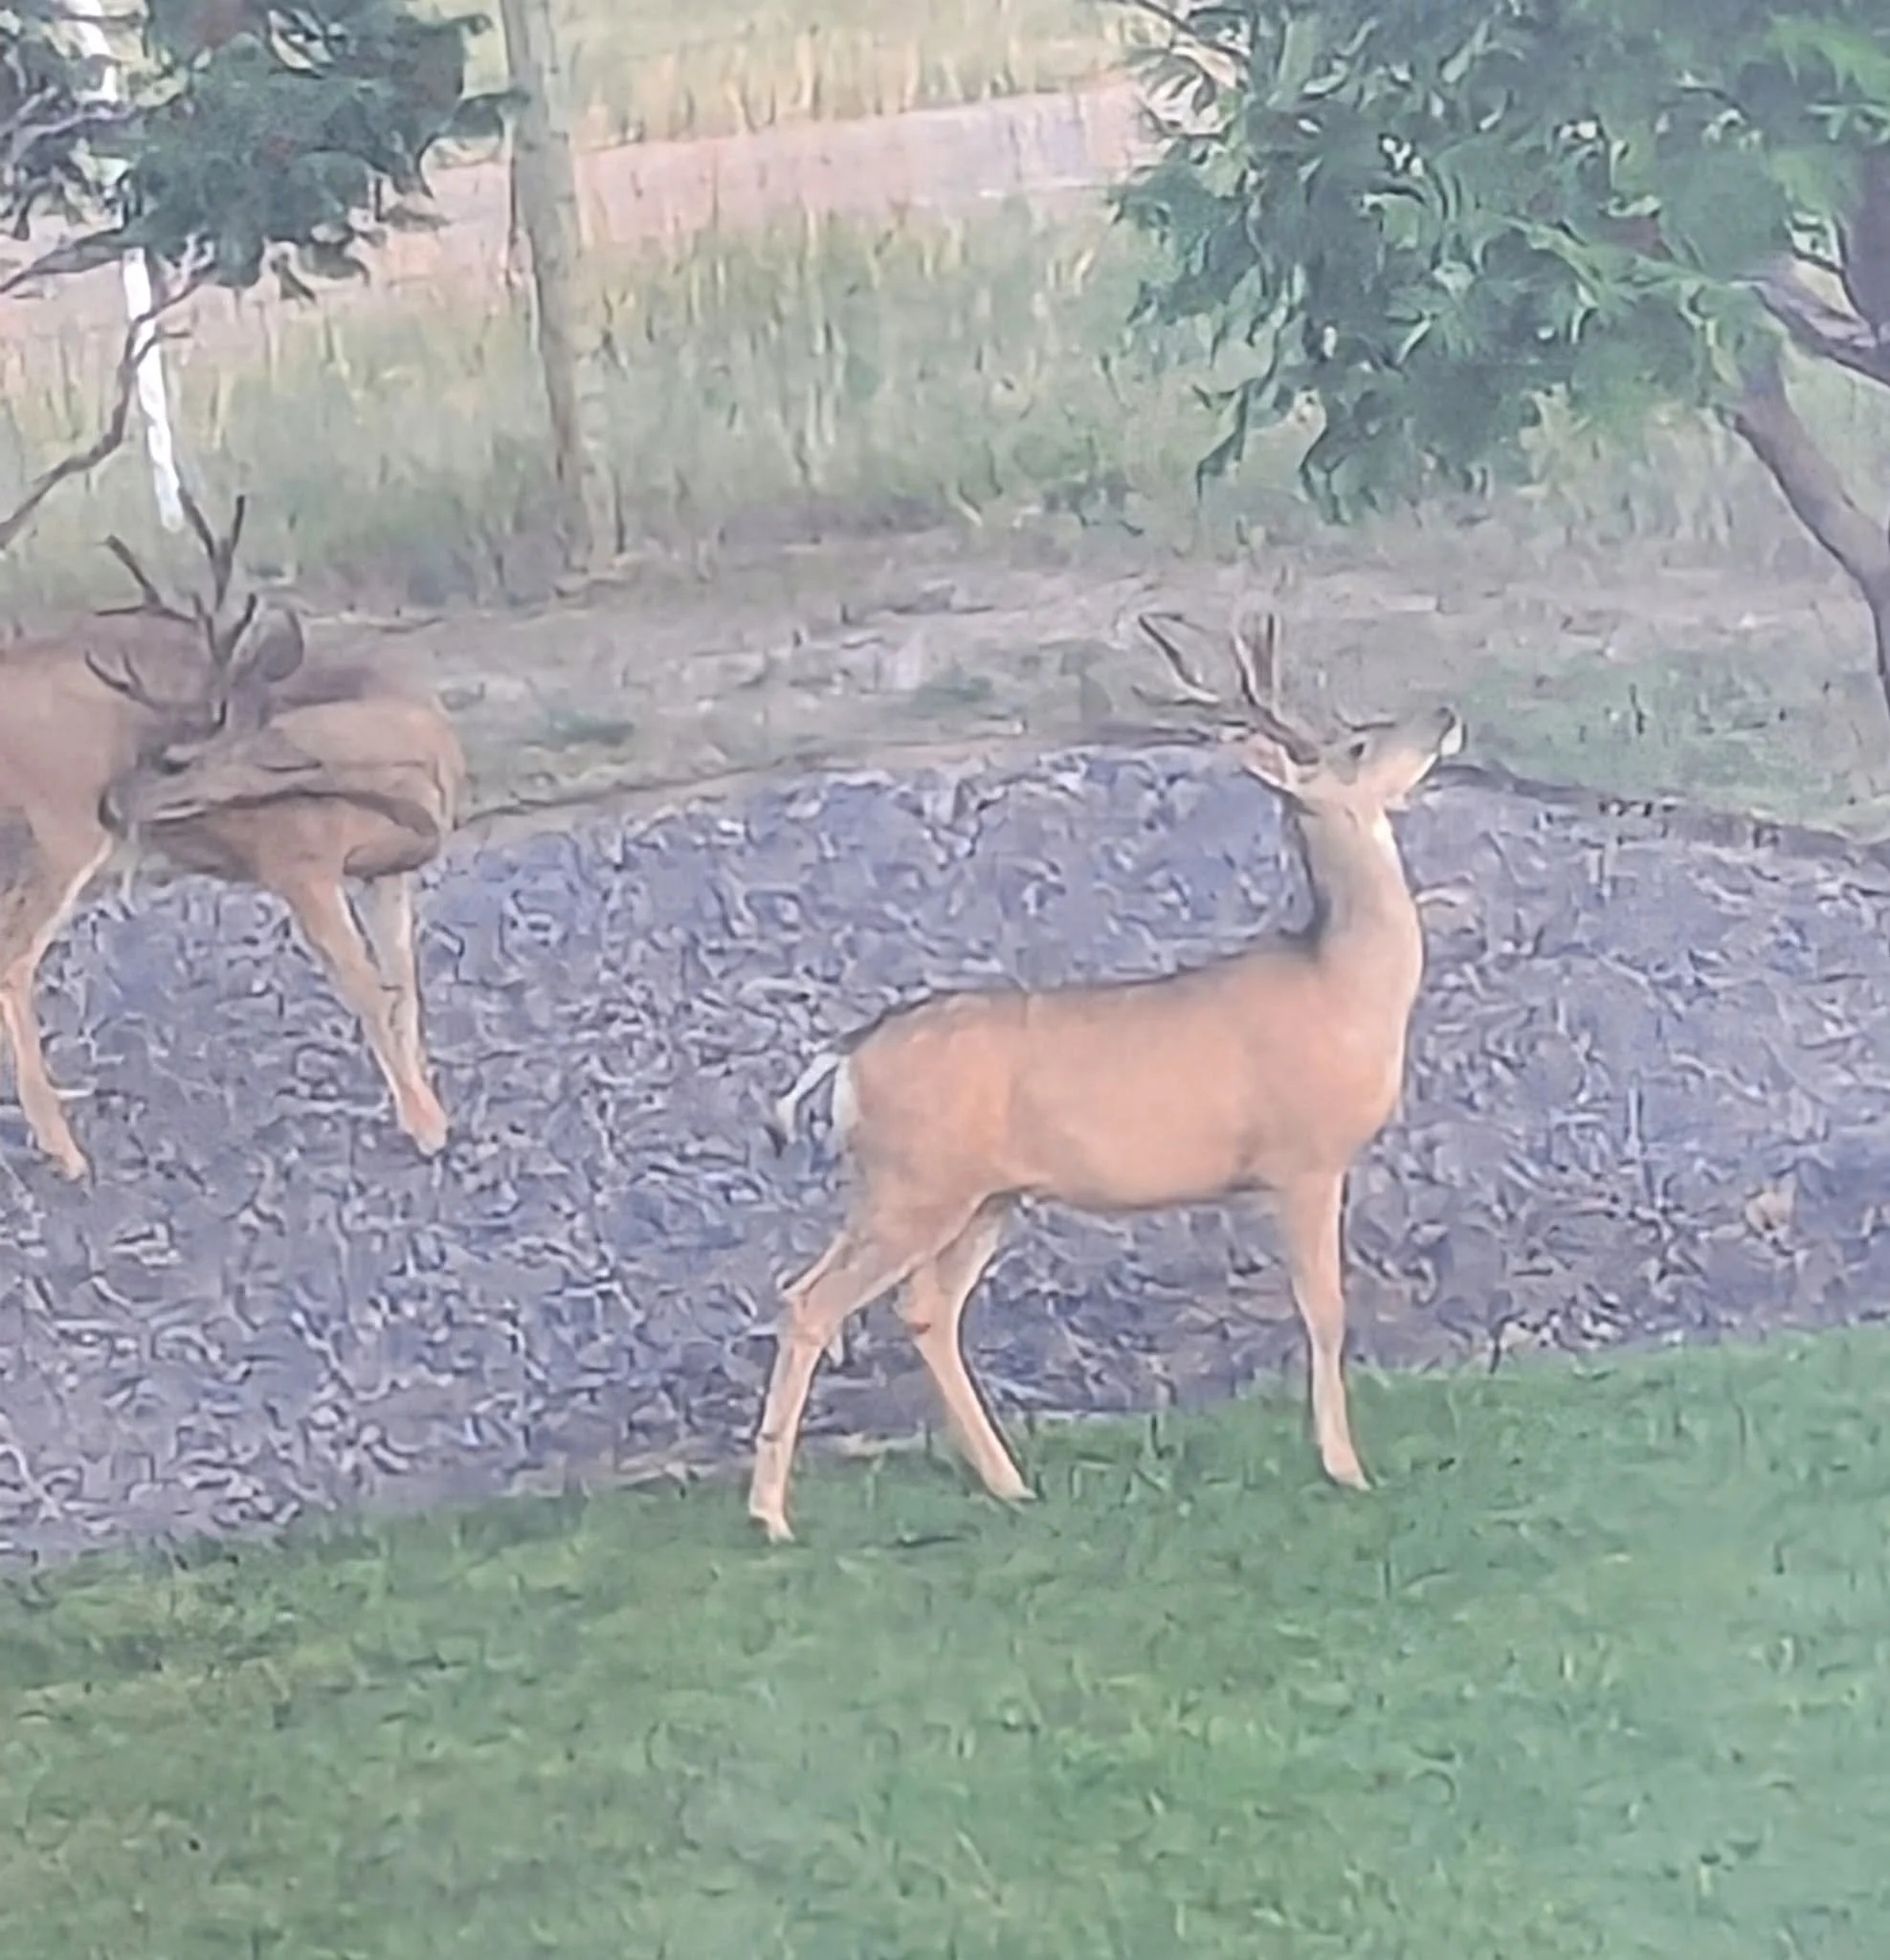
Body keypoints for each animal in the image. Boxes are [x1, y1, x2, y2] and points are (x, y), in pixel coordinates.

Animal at [0, 487, 465, 1181]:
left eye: (172, 754)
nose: (113, 802)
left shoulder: (387, 873)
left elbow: (403, 990)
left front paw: (427, 1107)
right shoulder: (299, 866)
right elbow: (367, 990)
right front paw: (426, 1126)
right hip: (59, 828)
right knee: (14, 956)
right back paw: (65, 1150)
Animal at [747, 604, 1465, 1542]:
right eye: (1354, 745)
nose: (1443, 715)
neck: (1342, 990)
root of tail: (848, 1056)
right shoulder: (1303, 1159)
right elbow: (1324, 1309)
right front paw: (1344, 1468)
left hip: (966, 1194)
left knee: (915, 1307)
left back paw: (1007, 1483)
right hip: (916, 1185)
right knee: (813, 1300)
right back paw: (770, 1516)